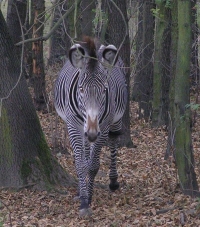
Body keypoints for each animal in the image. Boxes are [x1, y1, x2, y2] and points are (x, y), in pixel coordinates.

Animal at [54, 36, 127, 215]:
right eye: (80, 88)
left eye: (104, 89)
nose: (92, 133)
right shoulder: (74, 126)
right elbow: (80, 164)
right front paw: (83, 200)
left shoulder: (104, 127)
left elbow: (93, 166)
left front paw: (89, 196)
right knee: (84, 152)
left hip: (116, 120)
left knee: (113, 141)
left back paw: (113, 182)